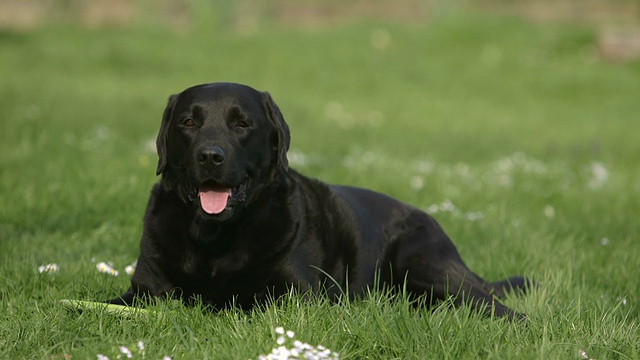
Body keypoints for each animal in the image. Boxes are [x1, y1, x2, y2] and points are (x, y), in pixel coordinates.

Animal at [111, 81, 528, 318]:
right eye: (188, 122)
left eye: (242, 123)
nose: (211, 156)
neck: (214, 241)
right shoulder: (143, 292)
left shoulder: (296, 296)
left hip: (426, 266)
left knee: (499, 309)